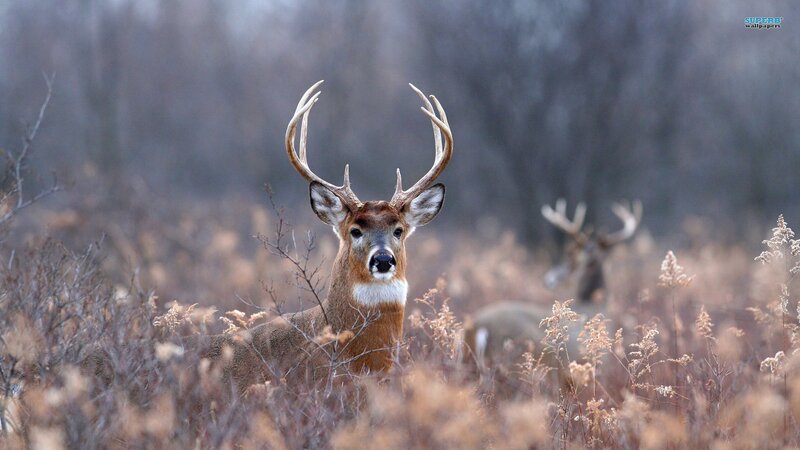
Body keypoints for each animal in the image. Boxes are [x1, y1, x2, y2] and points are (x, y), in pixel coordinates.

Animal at [462, 199, 641, 383]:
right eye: (570, 254)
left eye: (572, 259)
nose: (550, 278)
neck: (592, 307)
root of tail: (477, 326)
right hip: (514, 364)